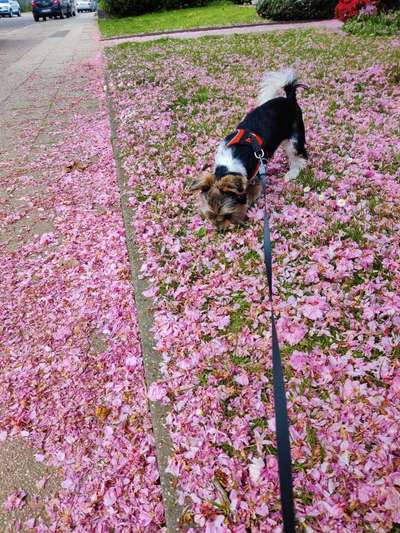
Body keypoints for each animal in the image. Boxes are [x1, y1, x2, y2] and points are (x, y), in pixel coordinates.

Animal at [192, 67, 308, 228]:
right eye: (211, 216)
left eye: (227, 215)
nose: (221, 229)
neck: (230, 162)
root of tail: (289, 98)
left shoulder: (257, 173)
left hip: (294, 137)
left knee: (298, 154)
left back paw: (293, 172)